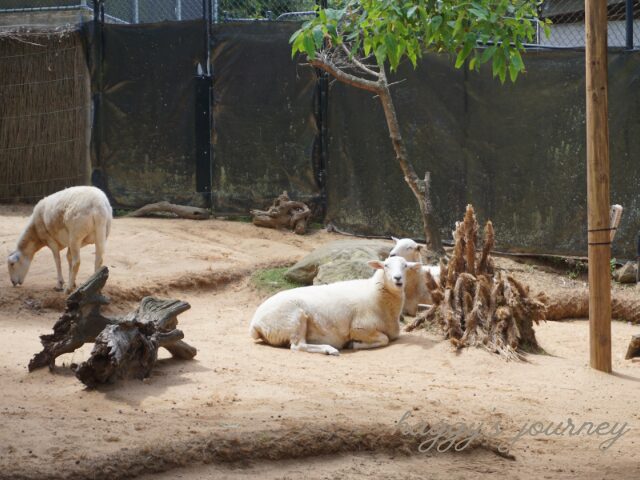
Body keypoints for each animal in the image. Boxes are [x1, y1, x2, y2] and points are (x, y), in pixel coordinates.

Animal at [249, 256, 420, 354]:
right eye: (386, 265)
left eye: (405, 266)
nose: (398, 278)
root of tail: (255, 323)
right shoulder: (360, 328)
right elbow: (384, 339)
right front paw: (354, 345)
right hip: (294, 320)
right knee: (298, 346)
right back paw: (329, 349)